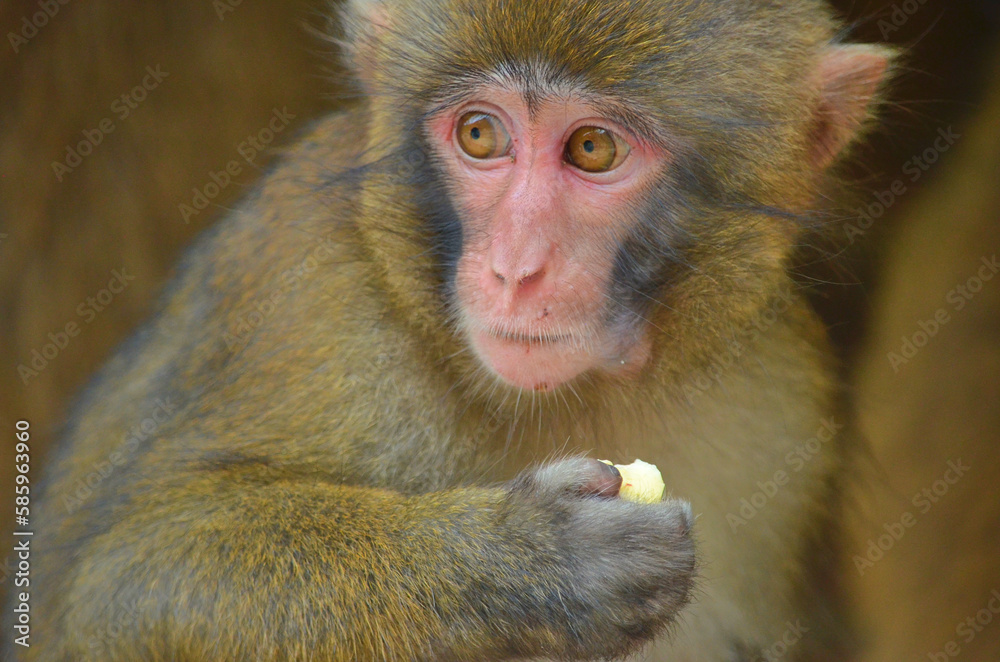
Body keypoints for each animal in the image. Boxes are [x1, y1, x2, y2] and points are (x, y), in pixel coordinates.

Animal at [6, 0, 894, 659]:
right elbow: (124, 584)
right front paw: (536, 563)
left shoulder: (781, 398)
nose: (514, 268)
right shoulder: (309, 288)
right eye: (480, 135)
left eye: (593, 148)